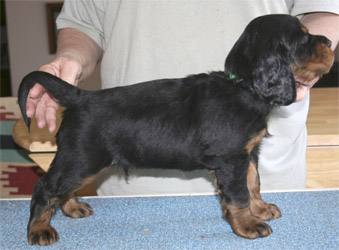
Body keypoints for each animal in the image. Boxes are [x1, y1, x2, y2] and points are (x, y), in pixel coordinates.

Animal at [17, 14, 334, 245]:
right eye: (304, 37)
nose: (330, 40)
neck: (244, 86)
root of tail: (82, 96)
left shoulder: (248, 154)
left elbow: (253, 182)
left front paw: (261, 209)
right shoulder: (231, 159)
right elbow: (239, 194)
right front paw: (248, 225)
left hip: (84, 161)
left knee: (63, 187)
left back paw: (73, 208)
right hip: (82, 157)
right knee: (46, 186)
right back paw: (39, 230)